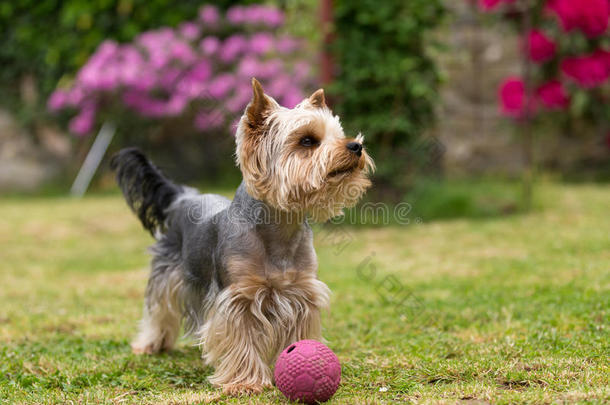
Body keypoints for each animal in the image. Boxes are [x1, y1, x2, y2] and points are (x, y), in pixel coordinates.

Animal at [111, 78, 372, 392]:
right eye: (308, 141)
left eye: (339, 134)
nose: (356, 145)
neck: (280, 228)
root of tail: (183, 196)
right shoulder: (238, 297)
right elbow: (240, 338)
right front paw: (244, 382)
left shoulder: (301, 293)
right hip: (167, 272)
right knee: (158, 308)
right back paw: (151, 344)